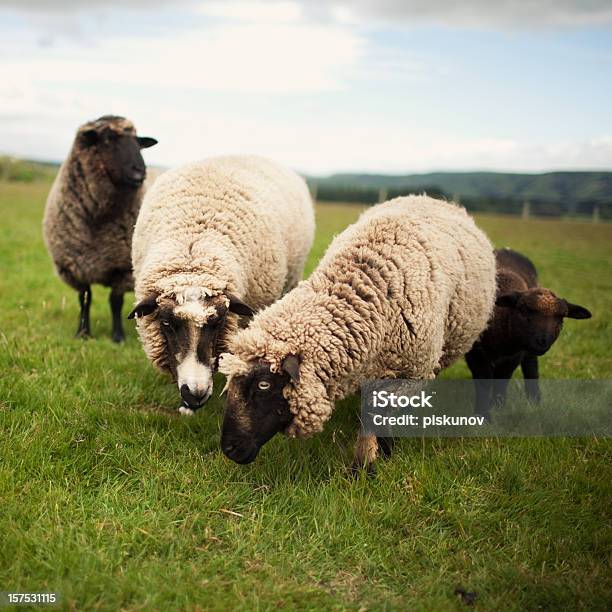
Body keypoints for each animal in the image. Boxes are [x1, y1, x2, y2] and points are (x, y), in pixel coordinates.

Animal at [43, 115, 158, 342]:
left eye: (138, 142)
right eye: (107, 139)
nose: (140, 171)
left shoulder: (123, 268)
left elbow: (115, 301)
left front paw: (118, 337)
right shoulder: (76, 266)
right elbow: (85, 299)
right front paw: (83, 333)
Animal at [466, 247, 592, 416]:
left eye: (560, 318)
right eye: (524, 310)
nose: (543, 341)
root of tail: (506, 250)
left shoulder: (515, 355)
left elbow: (502, 380)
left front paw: (497, 406)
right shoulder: (475, 353)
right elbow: (483, 383)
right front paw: (482, 414)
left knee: (531, 368)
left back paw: (535, 400)